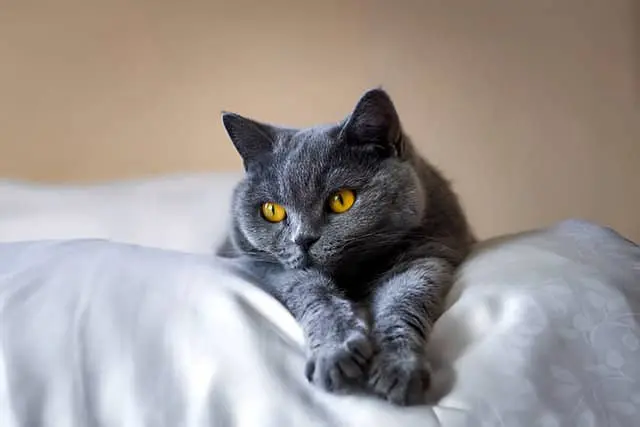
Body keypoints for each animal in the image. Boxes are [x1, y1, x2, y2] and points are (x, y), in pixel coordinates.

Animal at [218, 88, 472, 408]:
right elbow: (316, 295)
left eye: (341, 200)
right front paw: (337, 353)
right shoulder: (271, 267)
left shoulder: (428, 253)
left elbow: (405, 300)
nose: (302, 239)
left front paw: (398, 368)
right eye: (271, 210)